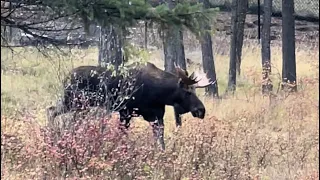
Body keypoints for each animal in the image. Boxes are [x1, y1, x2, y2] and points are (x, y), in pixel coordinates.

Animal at [47, 61, 212, 150]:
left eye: (195, 91)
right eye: (188, 92)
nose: (201, 110)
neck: (159, 94)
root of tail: (66, 77)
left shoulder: (156, 116)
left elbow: (160, 140)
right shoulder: (125, 112)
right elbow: (122, 135)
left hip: (80, 105)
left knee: (54, 111)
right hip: (72, 101)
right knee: (50, 110)